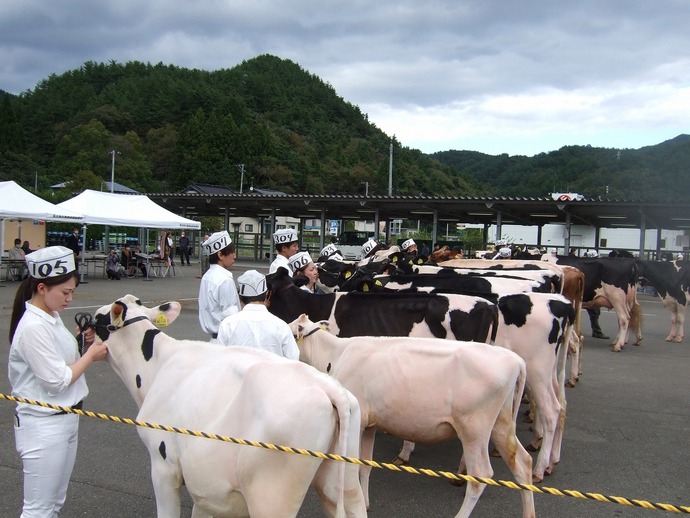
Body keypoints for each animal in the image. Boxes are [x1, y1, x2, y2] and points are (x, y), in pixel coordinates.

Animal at [95, 294, 370, 516]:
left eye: (96, 320)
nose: (84, 324)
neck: (158, 365)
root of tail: (328, 387)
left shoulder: (163, 466)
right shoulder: (204, 488)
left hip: (271, 498)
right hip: (343, 483)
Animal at [288, 314, 536, 518]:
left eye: (290, 330)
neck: (337, 353)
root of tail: (514, 359)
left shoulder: (357, 423)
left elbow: (356, 464)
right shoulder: (370, 424)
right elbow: (366, 465)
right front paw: (366, 502)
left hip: (474, 429)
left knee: (480, 476)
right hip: (501, 424)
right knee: (522, 463)